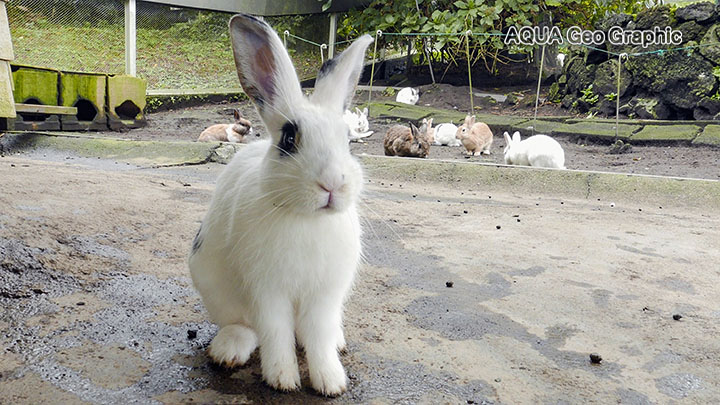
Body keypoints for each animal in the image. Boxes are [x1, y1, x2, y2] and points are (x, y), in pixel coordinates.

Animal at [188, 14, 374, 396]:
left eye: (348, 141)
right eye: (289, 139)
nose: (332, 184)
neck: (307, 218)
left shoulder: (324, 295)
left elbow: (318, 336)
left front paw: (330, 382)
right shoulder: (267, 291)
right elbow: (275, 332)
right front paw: (283, 380)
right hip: (214, 286)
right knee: (245, 327)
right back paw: (228, 350)